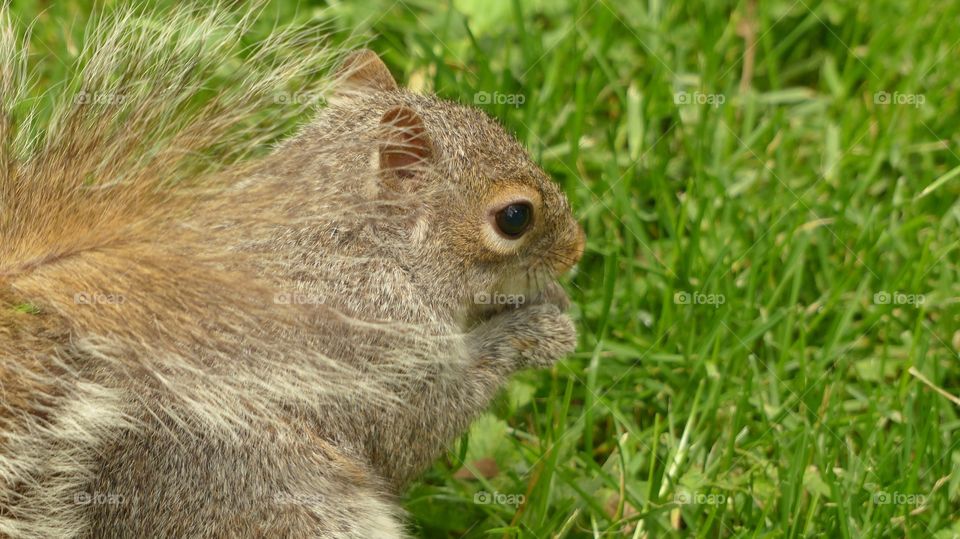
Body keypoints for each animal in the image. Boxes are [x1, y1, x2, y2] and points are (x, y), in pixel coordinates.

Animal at [0, 5, 584, 538]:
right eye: (515, 218)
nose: (577, 249)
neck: (362, 243)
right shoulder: (373, 345)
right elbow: (418, 427)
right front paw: (538, 331)